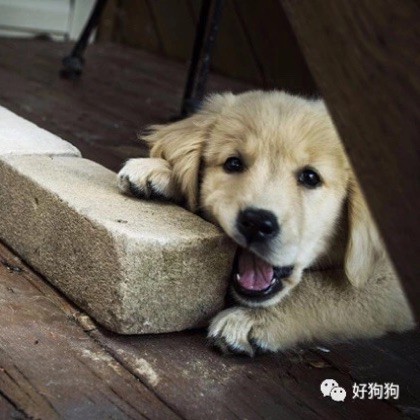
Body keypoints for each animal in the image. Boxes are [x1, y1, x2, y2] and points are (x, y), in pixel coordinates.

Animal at [118, 90, 414, 356]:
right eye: (233, 163)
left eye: (310, 177)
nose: (257, 223)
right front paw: (160, 170)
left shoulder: (387, 282)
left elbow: (322, 290)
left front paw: (248, 319)